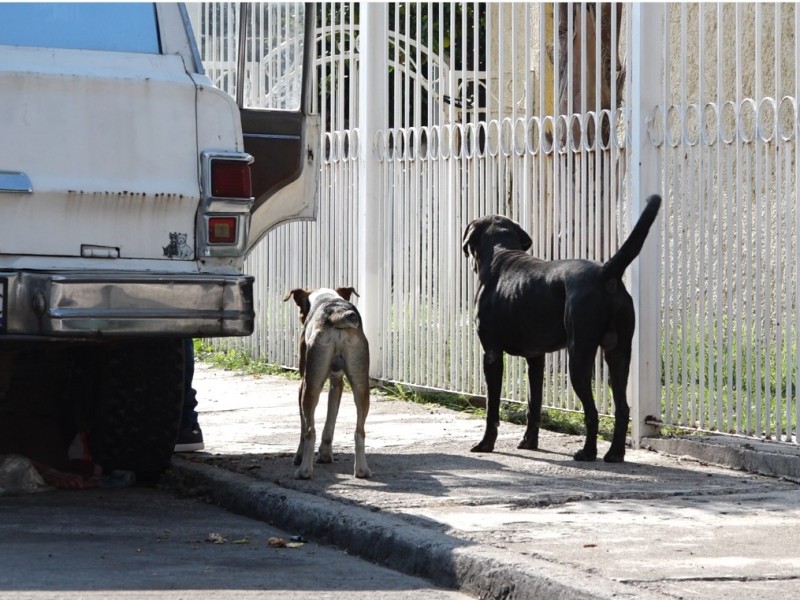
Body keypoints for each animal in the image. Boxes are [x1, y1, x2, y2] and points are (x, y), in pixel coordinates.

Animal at [282, 286, 370, 478]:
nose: (302, 317)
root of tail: (338, 313)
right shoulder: (337, 381)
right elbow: (331, 416)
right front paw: (325, 454)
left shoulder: (303, 383)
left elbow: (304, 426)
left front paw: (299, 456)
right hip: (361, 382)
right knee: (360, 430)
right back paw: (361, 470)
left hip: (311, 384)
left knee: (309, 431)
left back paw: (304, 471)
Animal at [462, 195, 664, 462]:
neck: (501, 253)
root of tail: (606, 272)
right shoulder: (536, 359)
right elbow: (534, 403)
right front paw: (529, 441)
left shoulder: (492, 355)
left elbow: (492, 407)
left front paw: (486, 443)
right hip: (618, 354)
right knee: (622, 408)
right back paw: (614, 454)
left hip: (578, 358)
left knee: (592, 411)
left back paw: (587, 452)